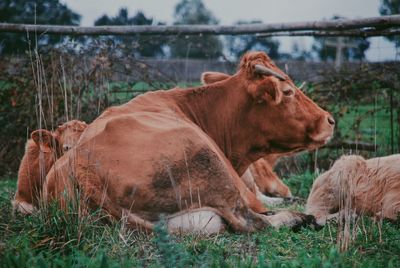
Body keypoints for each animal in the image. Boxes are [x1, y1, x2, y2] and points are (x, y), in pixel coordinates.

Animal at [43, 51, 334, 233]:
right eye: (287, 92)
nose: (329, 120)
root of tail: (82, 164)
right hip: (208, 165)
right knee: (251, 222)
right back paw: (306, 217)